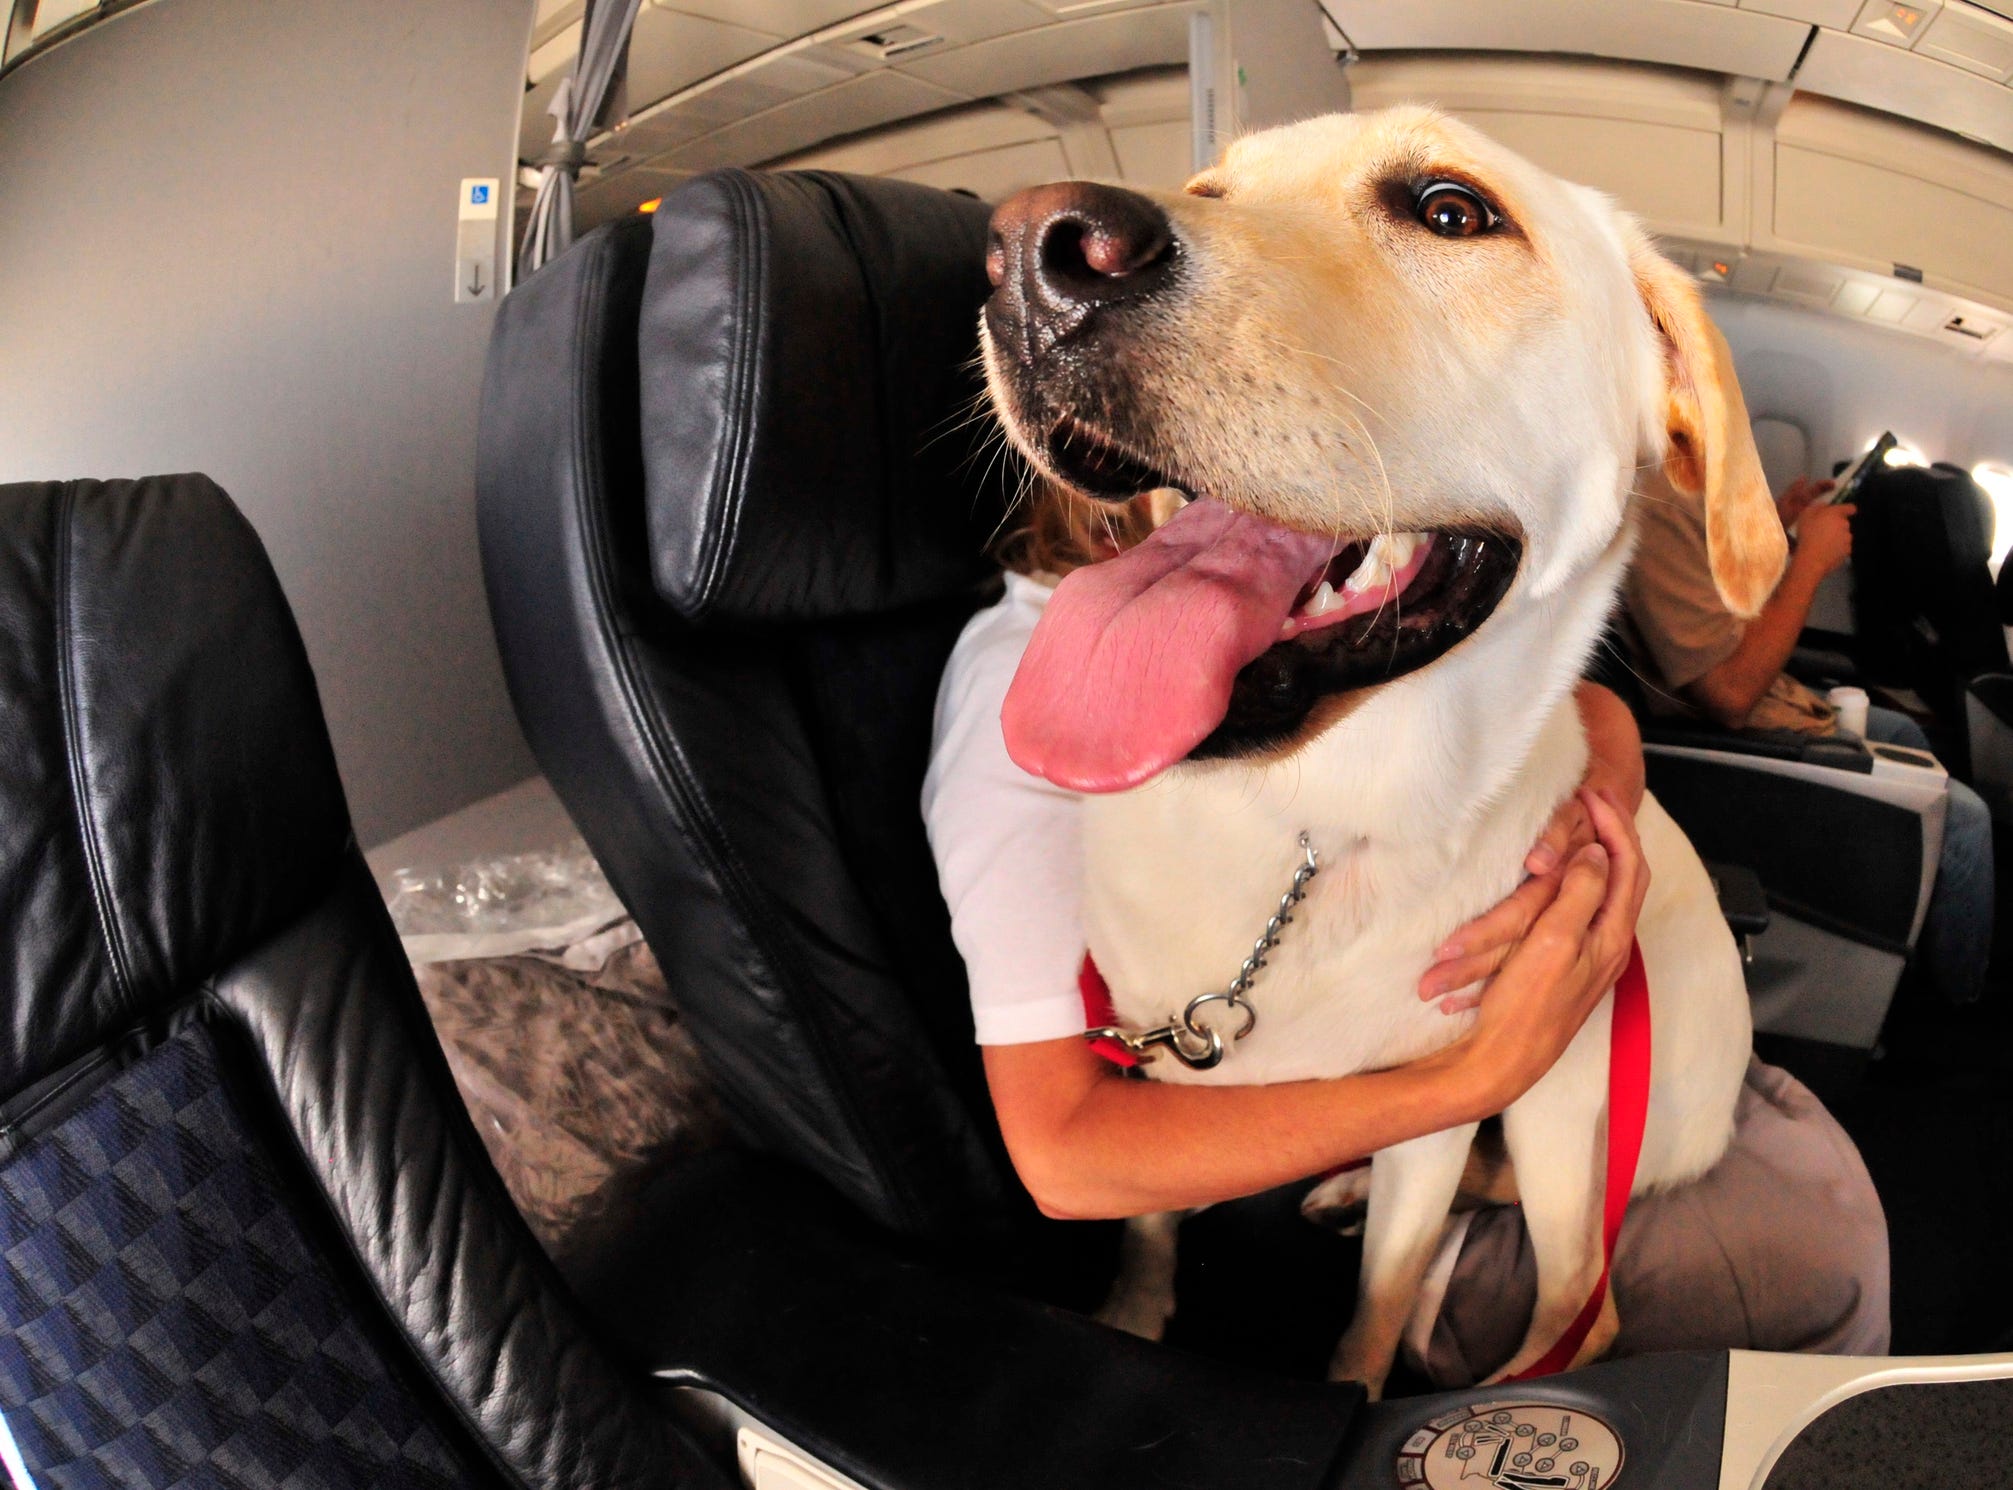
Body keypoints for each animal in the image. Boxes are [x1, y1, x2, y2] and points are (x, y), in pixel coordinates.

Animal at [982, 113, 1787, 1393]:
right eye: (1212, 185)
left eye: (1453, 211)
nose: (1033, 251)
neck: (1311, 827)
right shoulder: (1150, 1052)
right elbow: (1149, 1228)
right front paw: (1133, 1312)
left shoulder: (1457, 1095)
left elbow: (1385, 1293)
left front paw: (1359, 1390)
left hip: (1567, 1093)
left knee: (1582, 1295)